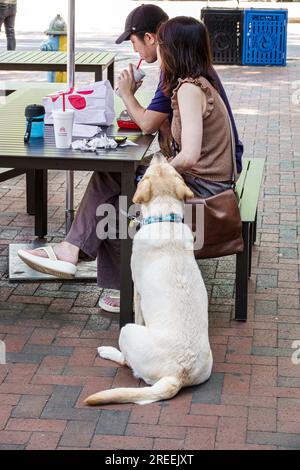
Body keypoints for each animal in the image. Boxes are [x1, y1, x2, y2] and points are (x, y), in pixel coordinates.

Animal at [83, 155, 212, 408]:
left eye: (147, 172)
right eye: (169, 168)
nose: (159, 155)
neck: (165, 220)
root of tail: (179, 375)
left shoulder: (137, 292)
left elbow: (138, 313)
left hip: (127, 331)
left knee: (126, 361)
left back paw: (107, 351)